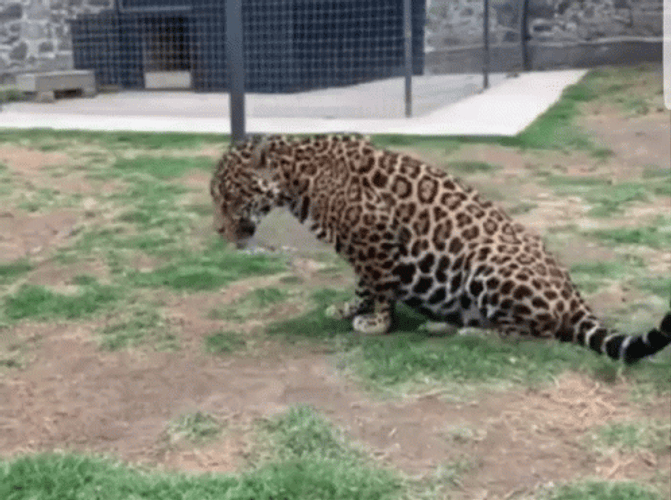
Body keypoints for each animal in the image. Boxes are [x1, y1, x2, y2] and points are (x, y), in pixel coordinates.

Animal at [210, 133, 671, 364]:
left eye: (228, 195)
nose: (218, 231)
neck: (297, 178)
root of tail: (575, 297)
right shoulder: (360, 247)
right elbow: (363, 285)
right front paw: (349, 308)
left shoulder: (374, 235)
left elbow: (379, 287)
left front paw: (376, 323)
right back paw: (441, 326)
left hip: (488, 261)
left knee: (536, 334)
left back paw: (467, 332)